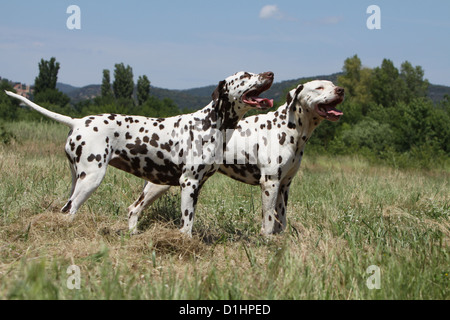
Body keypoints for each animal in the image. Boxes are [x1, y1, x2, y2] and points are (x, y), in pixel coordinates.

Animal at [4, 71, 274, 236]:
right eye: (245, 75)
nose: (271, 73)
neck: (210, 123)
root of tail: (77, 121)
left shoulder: (196, 185)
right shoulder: (189, 184)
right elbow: (187, 225)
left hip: (85, 180)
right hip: (91, 179)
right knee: (69, 210)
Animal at [129, 80, 344, 235]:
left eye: (333, 84)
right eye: (319, 87)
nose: (341, 90)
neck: (288, 128)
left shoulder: (284, 185)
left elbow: (281, 221)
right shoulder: (270, 183)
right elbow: (268, 221)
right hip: (159, 184)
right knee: (134, 208)